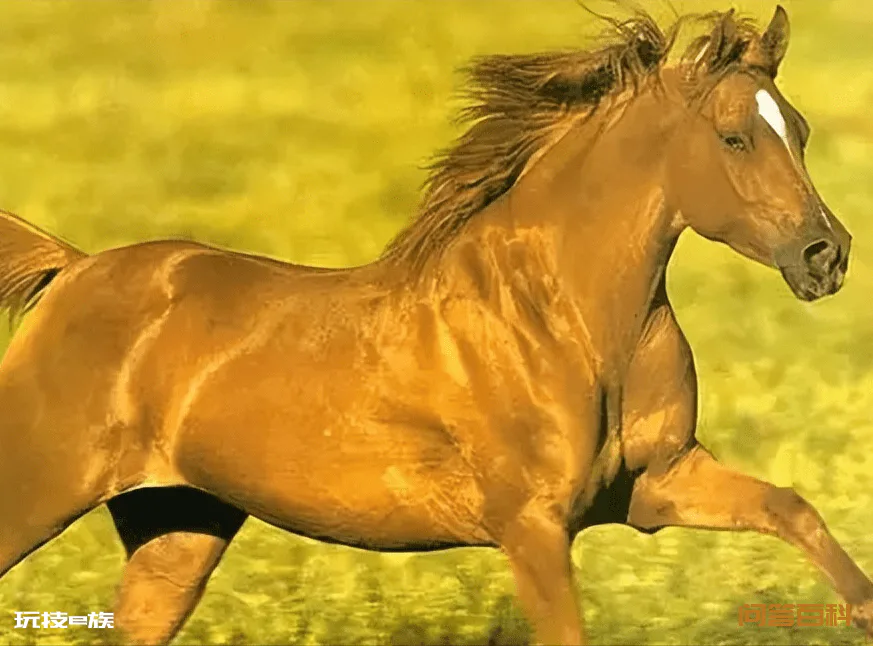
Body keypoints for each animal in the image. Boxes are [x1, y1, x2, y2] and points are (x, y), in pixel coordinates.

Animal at [0, 4, 871, 645]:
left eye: (797, 130)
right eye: (733, 136)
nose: (825, 254)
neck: (564, 321)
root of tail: (72, 268)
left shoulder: (655, 485)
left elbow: (790, 508)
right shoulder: (531, 525)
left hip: (178, 526)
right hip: (43, 487)